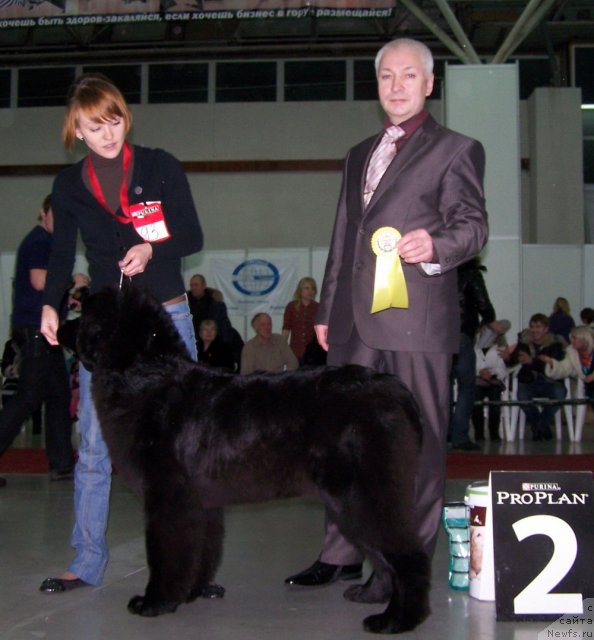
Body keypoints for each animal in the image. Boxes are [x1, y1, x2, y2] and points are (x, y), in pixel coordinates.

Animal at [75, 288, 430, 632]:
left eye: (83, 313)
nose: (65, 328)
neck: (147, 374)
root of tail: (393, 388)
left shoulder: (168, 497)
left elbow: (166, 552)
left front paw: (155, 602)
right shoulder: (199, 503)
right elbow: (199, 550)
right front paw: (190, 592)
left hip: (364, 495)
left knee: (408, 555)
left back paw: (399, 619)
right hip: (354, 502)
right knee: (382, 556)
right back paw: (371, 596)